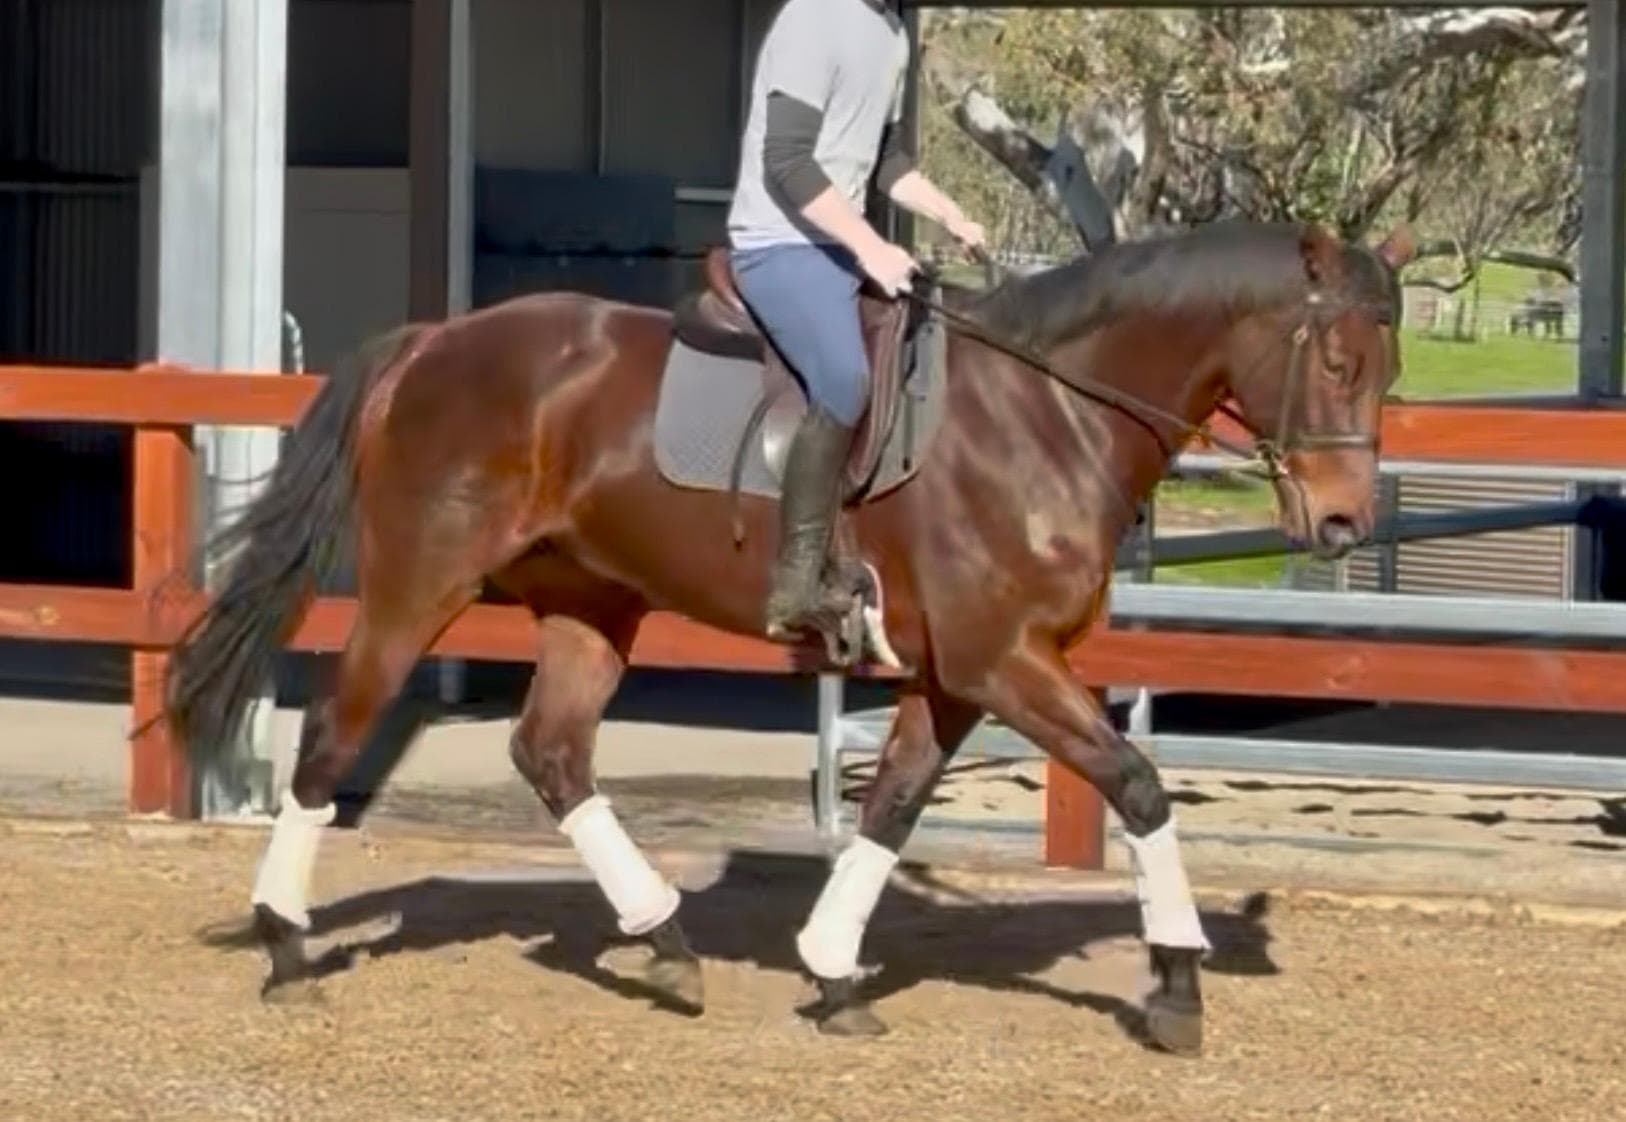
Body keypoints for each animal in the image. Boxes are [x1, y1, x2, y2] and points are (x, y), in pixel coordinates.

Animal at [164, 218, 1414, 1056]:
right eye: (1336, 361)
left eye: (1390, 365)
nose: (1342, 525)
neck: (1046, 413)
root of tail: (433, 344)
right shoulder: (1006, 661)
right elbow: (1140, 787)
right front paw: (1176, 986)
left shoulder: (956, 677)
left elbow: (892, 809)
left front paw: (834, 973)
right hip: (415, 589)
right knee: (335, 738)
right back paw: (287, 948)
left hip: (593, 604)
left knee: (551, 752)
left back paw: (666, 943)